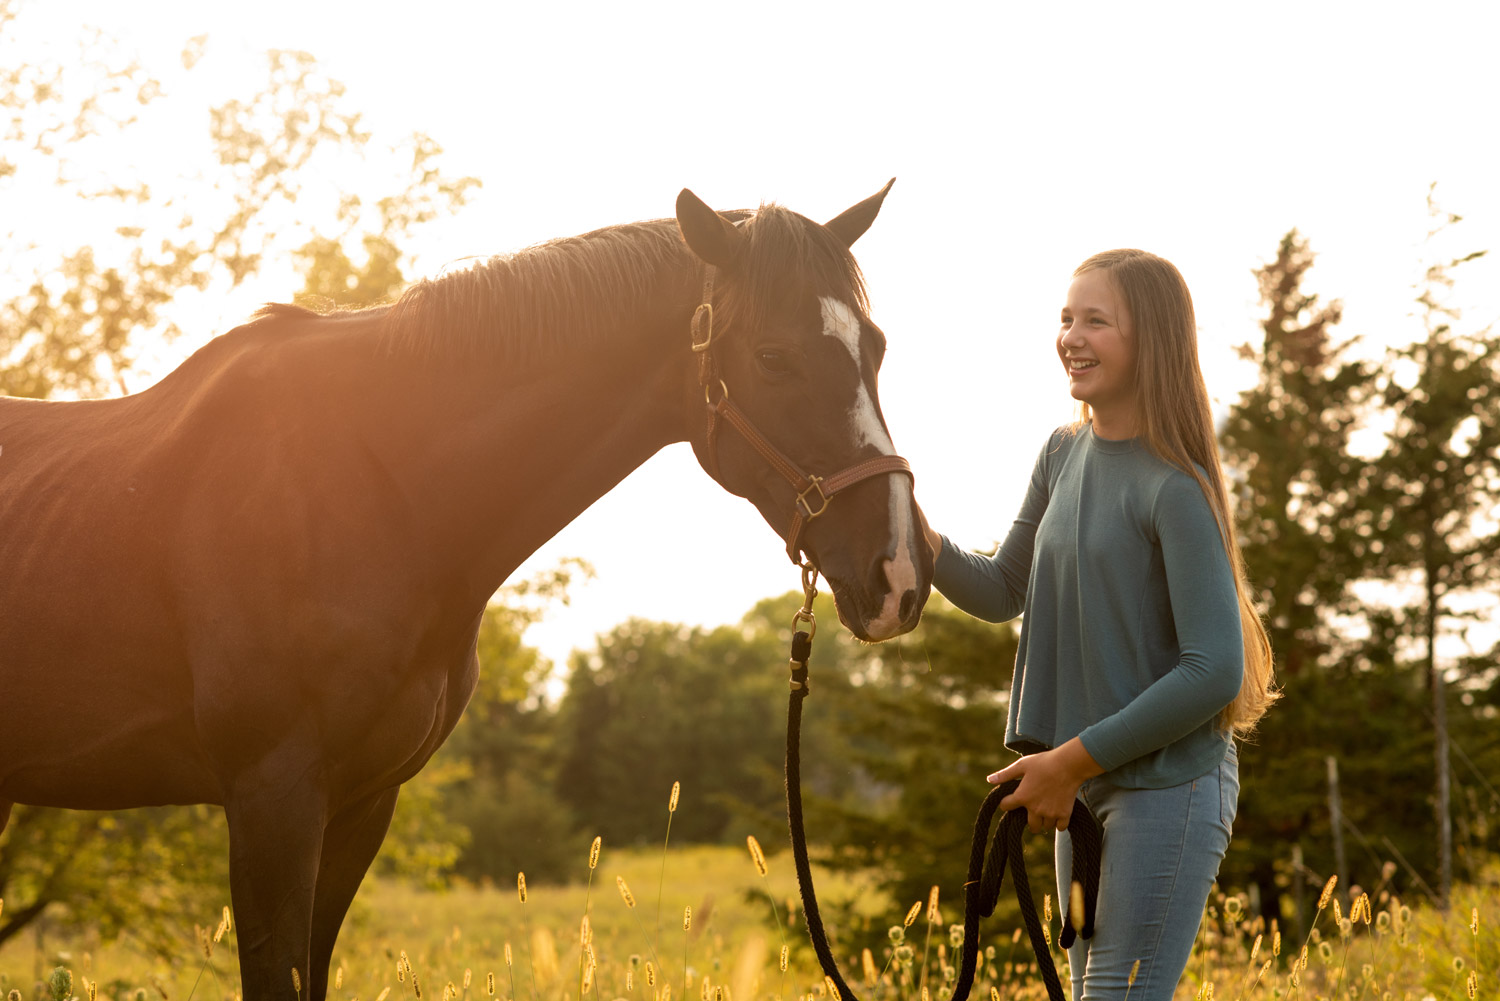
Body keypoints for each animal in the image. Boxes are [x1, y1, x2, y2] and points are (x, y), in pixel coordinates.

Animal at [0, 183, 930, 996]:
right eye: (773, 357)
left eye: (878, 348)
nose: (898, 572)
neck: (365, 486)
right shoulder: (272, 798)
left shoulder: (362, 803)